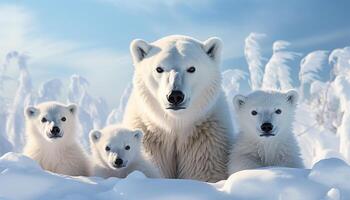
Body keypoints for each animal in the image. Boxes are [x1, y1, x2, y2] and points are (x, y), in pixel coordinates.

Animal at [121, 35, 234, 182]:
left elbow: (204, 172)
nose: (175, 96)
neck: (175, 123)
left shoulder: (205, 139)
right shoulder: (149, 138)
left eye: (191, 68)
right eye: (159, 69)